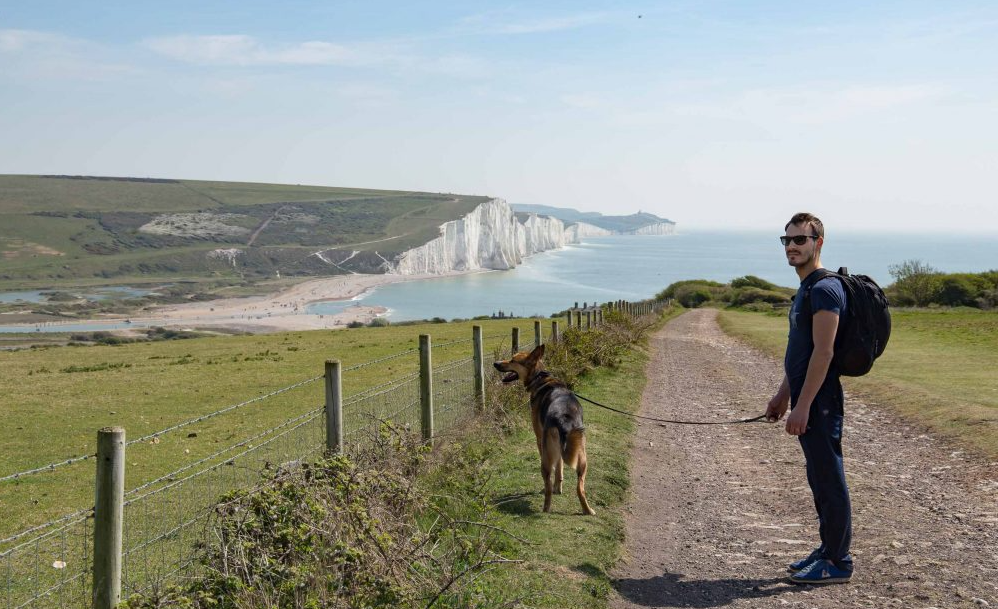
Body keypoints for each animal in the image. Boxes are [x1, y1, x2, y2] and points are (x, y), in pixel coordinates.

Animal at [492, 344, 592, 516]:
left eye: (512, 360)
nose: (495, 363)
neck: (539, 377)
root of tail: (564, 418)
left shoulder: (539, 438)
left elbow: (554, 471)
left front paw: (555, 488)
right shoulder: (560, 451)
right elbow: (559, 468)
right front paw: (559, 487)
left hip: (545, 456)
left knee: (548, 485)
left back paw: (546, 508)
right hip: (582, 458)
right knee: (580, 488)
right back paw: (588, 510)